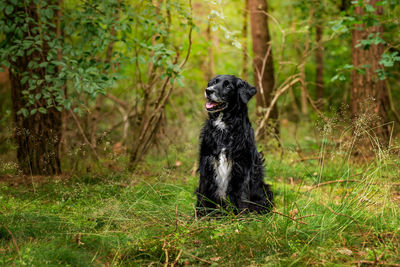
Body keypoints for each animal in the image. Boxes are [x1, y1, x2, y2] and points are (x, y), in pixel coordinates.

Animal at [195, 74, 274, 217]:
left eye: (228, 86)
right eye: (213, 82)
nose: (208, 90)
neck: (224, 129)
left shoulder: (242, 168)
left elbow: (242, 198)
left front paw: (242, 220)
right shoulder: (206, 165)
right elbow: (202, 196)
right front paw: (199, 218)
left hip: (264, 189)